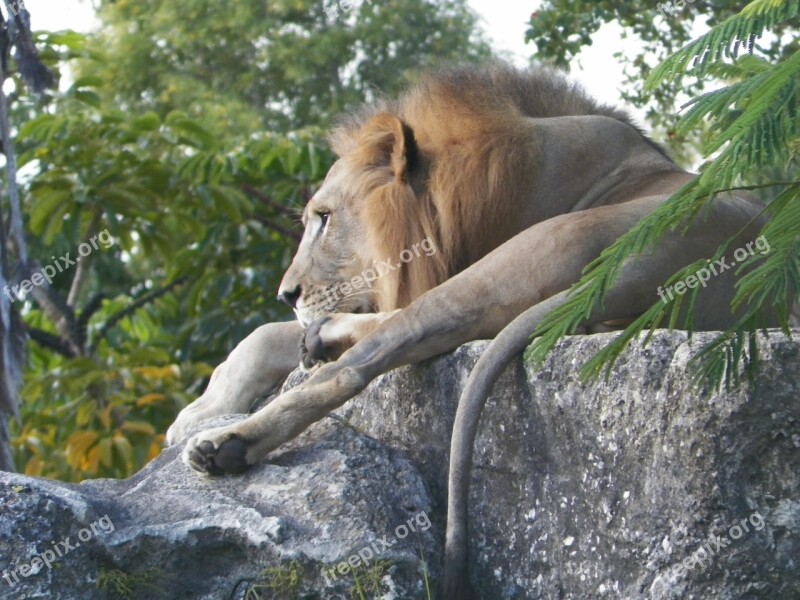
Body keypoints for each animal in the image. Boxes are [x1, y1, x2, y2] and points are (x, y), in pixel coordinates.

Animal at [164, 63, 768, 596]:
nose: (286, 293)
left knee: (369, 357)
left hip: (538, 249)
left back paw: (229, 443)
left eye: (325, 218)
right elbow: (264, 336)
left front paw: (210, 416)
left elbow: (294, 334)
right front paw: (201, 406)